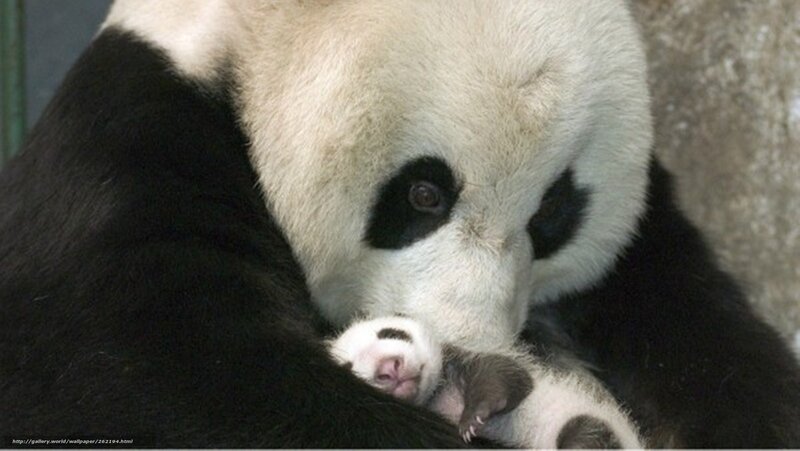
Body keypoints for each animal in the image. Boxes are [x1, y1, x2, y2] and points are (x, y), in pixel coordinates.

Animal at [1, 0, 799, 448]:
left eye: (553, 211)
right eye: (424, 194)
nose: (468, 343)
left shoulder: (644, 249)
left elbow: (709, 346)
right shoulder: (130, 153)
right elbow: (151, 376)